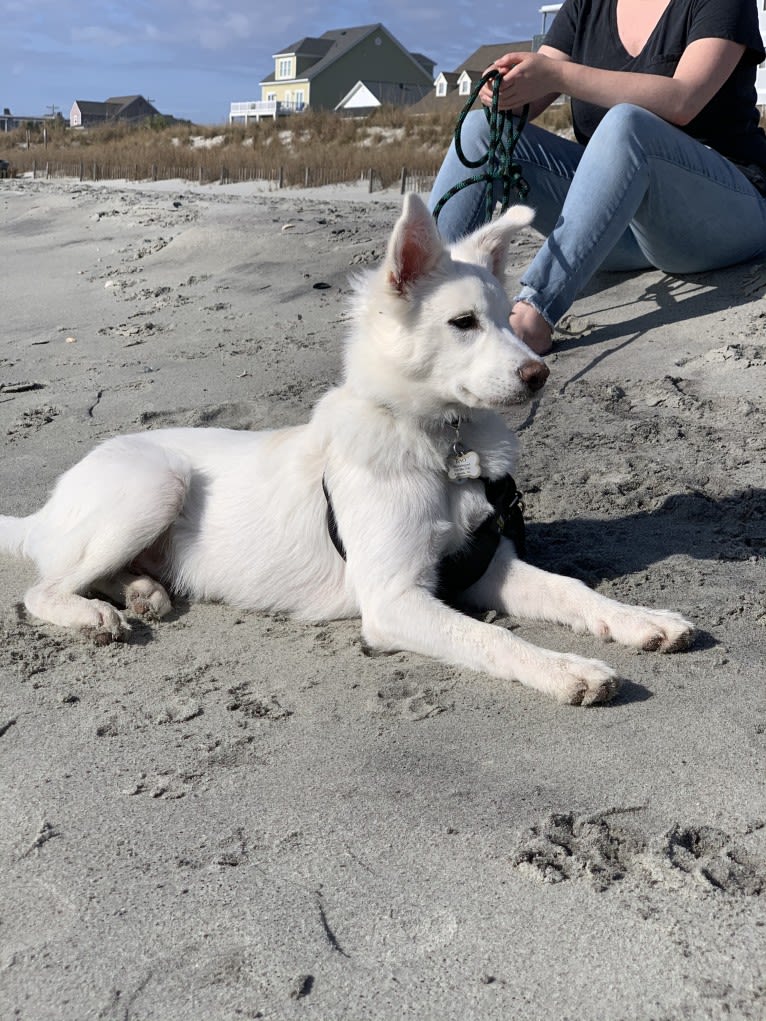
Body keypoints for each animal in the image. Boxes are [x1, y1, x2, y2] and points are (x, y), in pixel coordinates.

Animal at [0, 192, 694, 702]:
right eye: (463, 323)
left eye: (506, 320)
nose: (539, 373)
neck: (438, 444)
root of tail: (45, 507)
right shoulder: (394, 600)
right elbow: (491, 640)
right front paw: (565, 668)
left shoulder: (481, 565)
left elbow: (570, 589)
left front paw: (640, 619)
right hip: (156, 483)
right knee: (43, 588)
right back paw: (93, 614)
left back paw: (141, 590)